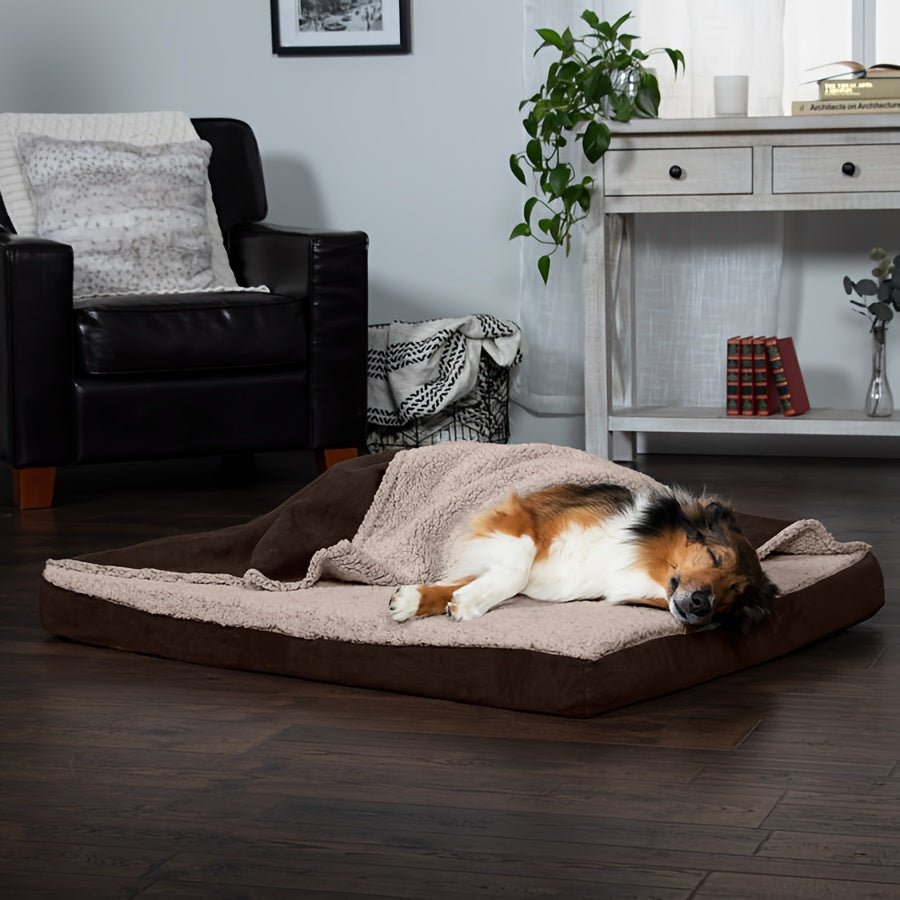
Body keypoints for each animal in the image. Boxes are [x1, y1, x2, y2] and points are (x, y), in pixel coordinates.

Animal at [390, 486, 776, 632]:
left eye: (733, 594)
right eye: (713, 556)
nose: (700, 604)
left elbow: (476, 581)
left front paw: (433, 600)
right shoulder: (524, 517)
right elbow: (514, 572)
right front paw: (452, 600)